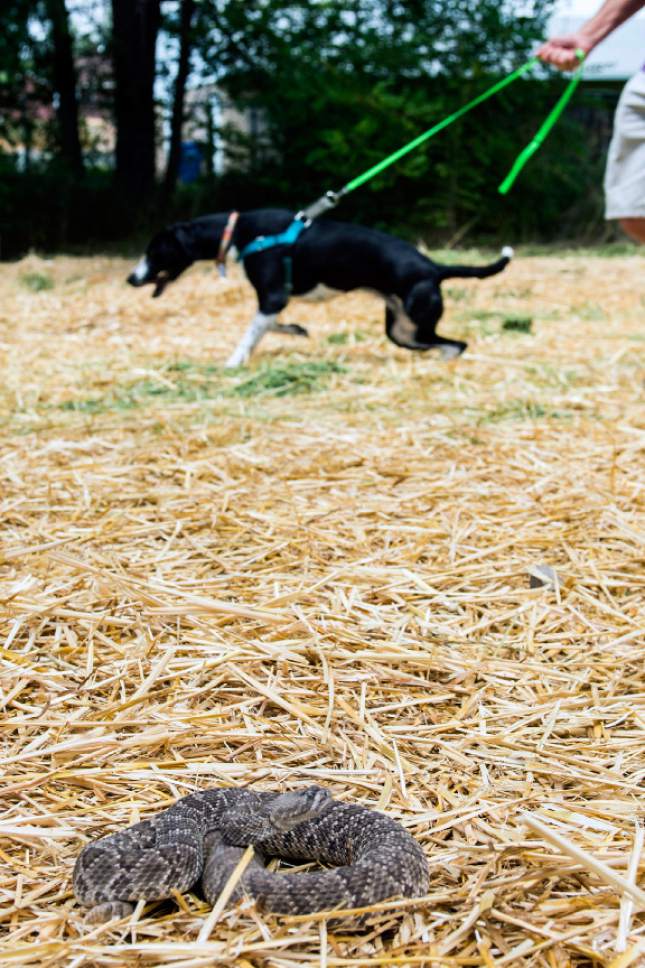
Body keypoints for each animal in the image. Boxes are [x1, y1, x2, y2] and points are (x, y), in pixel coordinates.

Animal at [128, 208, 512, 366]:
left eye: (153, 251)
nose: (131, 278)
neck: (238, 232)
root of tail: (434, 267)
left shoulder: (272, 296)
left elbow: (250, 333)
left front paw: (234, 361)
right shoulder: (274, 302)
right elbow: (270, 327)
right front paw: (297, 330)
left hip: (415, 324)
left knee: (457, 344)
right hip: (400, 330)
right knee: (450, 344)